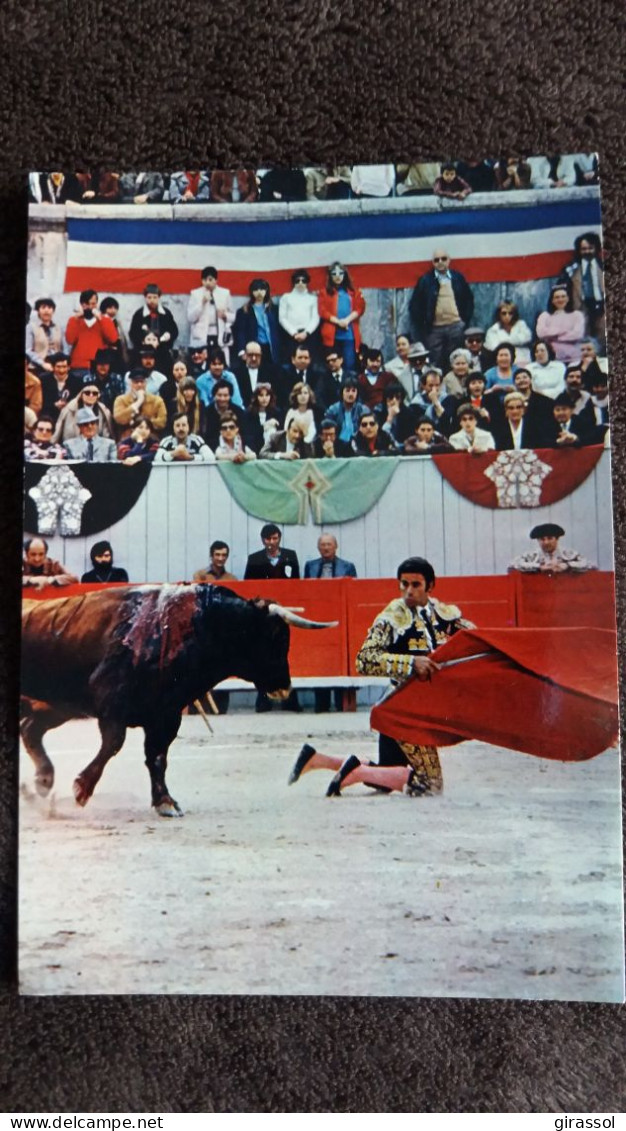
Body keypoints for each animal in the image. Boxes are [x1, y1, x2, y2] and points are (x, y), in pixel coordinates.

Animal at [19, 588, 332, 818]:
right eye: (276, 636)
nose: (284, 687)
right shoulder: (112, 704)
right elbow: (114, 745)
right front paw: (81, 789)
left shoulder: (166, 716)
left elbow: (157, 757)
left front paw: (166, 802)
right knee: (32, 729)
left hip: (57, 705)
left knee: (30, 729)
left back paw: (41, 783)